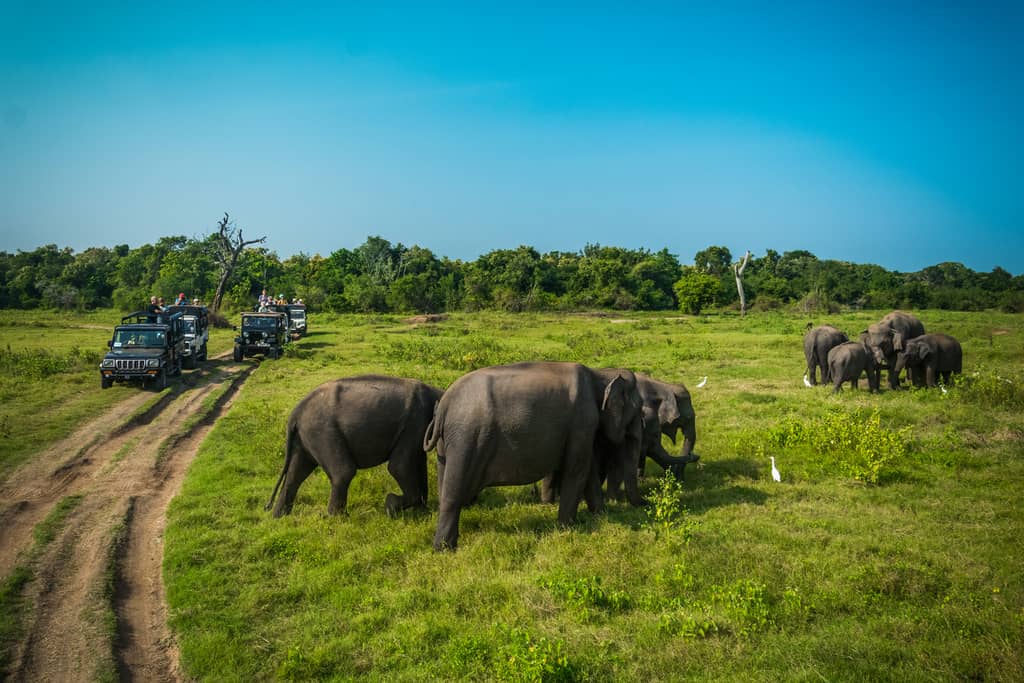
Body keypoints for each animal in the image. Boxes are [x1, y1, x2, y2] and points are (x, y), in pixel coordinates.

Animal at [264, 376, 440, 516]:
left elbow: (419, 462)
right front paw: (390, 506)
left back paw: (279, 517)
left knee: (296, 473)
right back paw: (339, 519)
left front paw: (423, 512)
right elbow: (399, 467)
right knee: (343, 472)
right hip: (322, 431)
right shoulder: (414, 422)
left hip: (305, 437)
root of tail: (295, 413)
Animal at [423, 362, 638, 548]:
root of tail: (444, 405)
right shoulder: (583, 420)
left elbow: (587, 468)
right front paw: (567, 528)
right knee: (453, 491)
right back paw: (444, 549)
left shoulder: (582, 428)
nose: (642, 504)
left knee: (444, 486)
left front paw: (601, 516)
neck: (600, 374)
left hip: (446, 444)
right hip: (466, 438)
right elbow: (577, 469)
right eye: (637, 411)